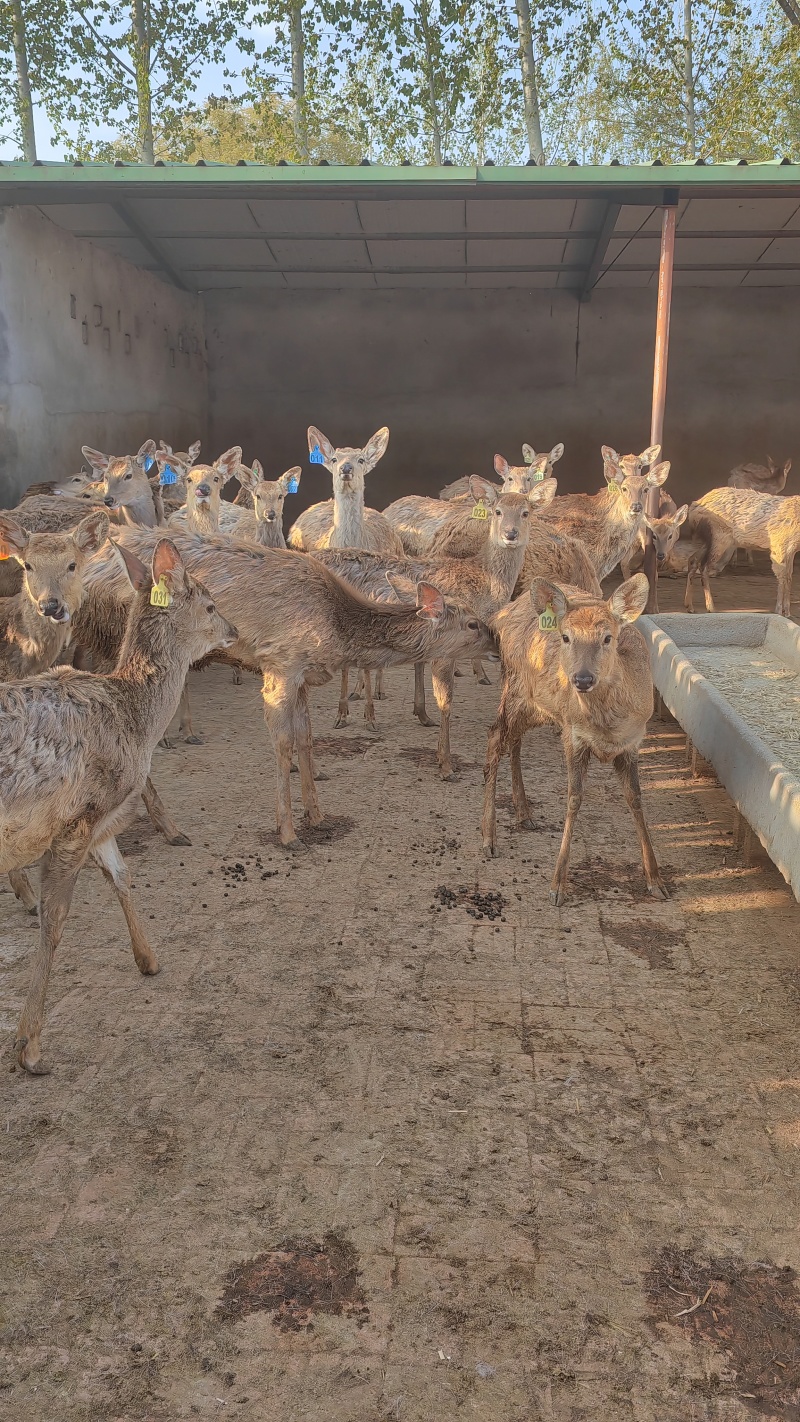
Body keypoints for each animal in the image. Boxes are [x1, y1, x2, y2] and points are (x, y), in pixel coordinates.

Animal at [2, 538, 238, 1074]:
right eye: (210, 605)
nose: (234, 631)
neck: (135, 721)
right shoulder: (78, 816)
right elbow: (54, 921)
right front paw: (30, 1047)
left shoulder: (103, 821)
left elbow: (122, 875)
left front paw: (148, 959)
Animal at [114, 526, 495, 849]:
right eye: (473, 624)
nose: (497, 641)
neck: (338, 628)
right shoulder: (281, 664)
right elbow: (283, 745)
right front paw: (287, 832)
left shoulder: (303, 678)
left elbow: (306, 737)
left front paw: (316, 815)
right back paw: (169, 827)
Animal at [482, 574, 667, 905]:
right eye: (566, 637)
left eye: (608, 638)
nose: (582, 679)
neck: (607, 728)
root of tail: (503, 613)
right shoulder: (573, 734)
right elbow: (574, 798)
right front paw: (557, 886)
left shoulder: (633, 741)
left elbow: (635, 798)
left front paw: (655, 880)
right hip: (515, 688)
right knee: (494, 738)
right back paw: (489, 837)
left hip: (537, 706)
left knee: (513, 741)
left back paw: (524, 813)